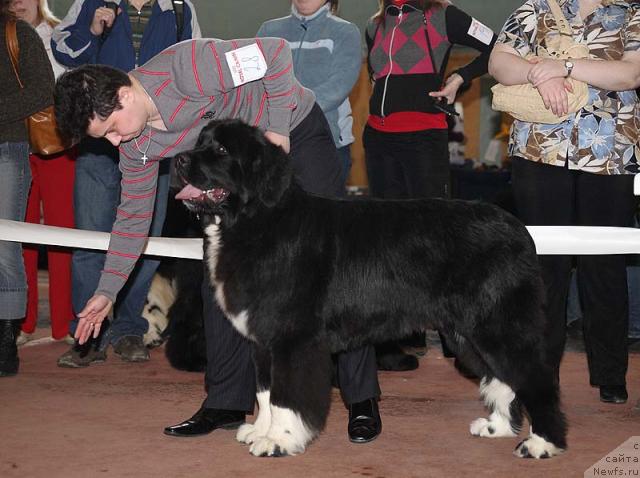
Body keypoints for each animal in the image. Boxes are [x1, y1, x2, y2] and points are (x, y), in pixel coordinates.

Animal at [174, 119, 564, 460]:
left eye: (221, 150)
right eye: (200, 141)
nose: (179, 159)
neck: (258, 219)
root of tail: (519, 230)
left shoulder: (292, 339)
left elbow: (286, 395)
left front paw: (278, 441)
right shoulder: (263, 339)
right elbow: (265, 391)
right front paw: (260, 431)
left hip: (499, 324)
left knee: (536, 377)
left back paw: (541, 444)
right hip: (468, 333)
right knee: (503, 377)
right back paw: (497, 428)